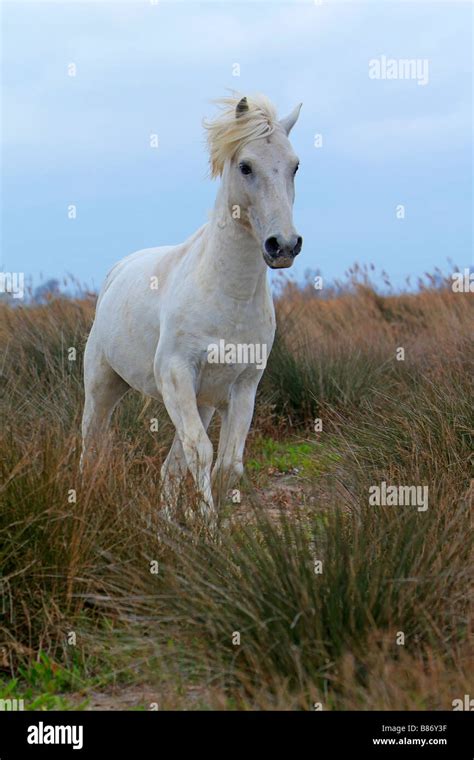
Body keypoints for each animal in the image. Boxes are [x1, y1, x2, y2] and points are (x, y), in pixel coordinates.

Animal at [80, 95, 304, 528]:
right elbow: (201, 452)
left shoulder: (243, 386)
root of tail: (117, 271)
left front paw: (210, 525)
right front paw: (207, 528)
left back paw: (166, 523)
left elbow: (227, 463)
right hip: (103, 386)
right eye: (245, 166)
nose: (283, 245)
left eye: (295, 165)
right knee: (91, 444)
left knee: (171, 464)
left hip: (201, 402)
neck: (227, 296)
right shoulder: (176, 373)